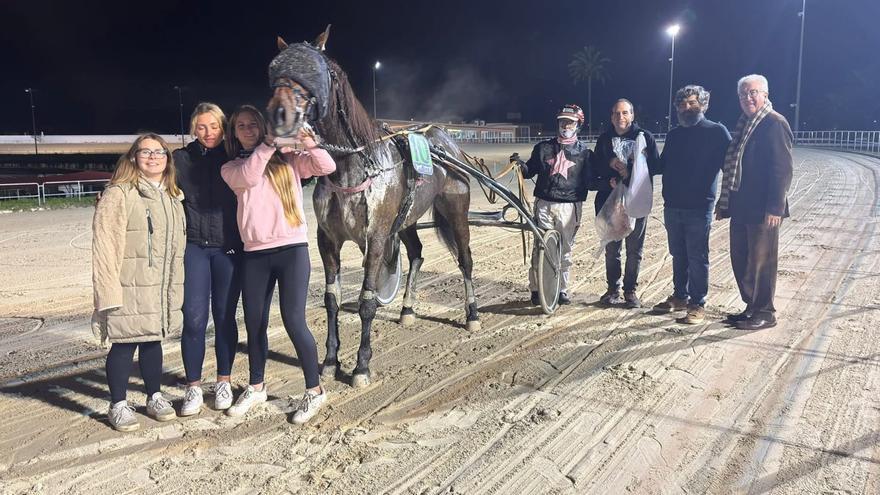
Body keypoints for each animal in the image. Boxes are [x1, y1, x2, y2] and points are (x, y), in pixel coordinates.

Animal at [266, 27, 480, 388]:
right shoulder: (328, 240)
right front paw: (330, 361)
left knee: (465, 259)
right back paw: (407, 309)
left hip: (456, 210)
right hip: (406, 219)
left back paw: (473, 314)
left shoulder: (377, 237)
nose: (278, 115)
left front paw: (361, 366)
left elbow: (367, 301)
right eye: (275, 70)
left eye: (313, 71)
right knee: (417, 253)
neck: (352, 163)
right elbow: (332, 299)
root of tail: (445, 139)